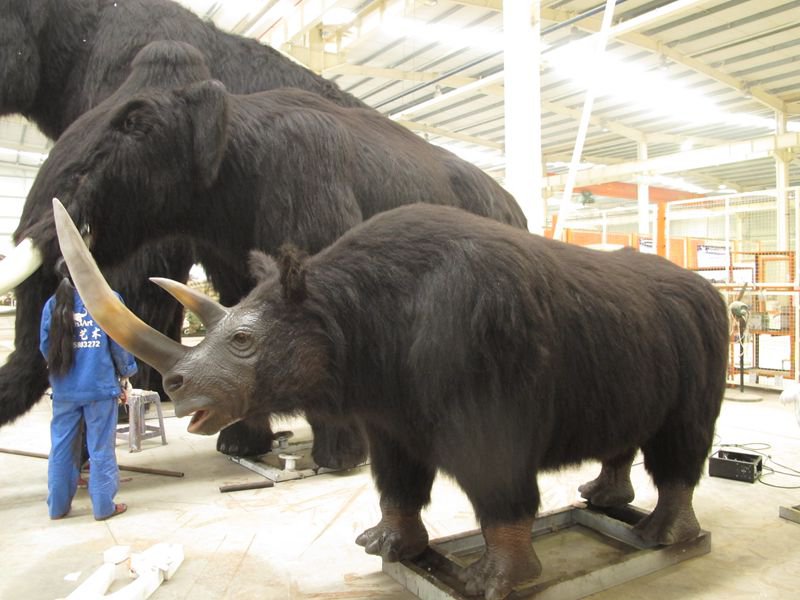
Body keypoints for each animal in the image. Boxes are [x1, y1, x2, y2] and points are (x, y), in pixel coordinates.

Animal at [0, 0, 509, 464]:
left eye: (135, 122)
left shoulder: (309, 190)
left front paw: (339, 460)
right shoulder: (225, 246)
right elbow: (234, 302)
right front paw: (239, 445)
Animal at [54, 199, 729, 600]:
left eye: (243, 340)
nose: (175, 386)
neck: (345, 307)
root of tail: (712, 292)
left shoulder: (492, 417)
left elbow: (499, 494)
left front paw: (495, 582)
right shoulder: (388, 413)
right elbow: (397, 482)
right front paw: (385, 548)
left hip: (704, 326)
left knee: (681, 439)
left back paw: (664, 539)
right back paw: (603, 500)